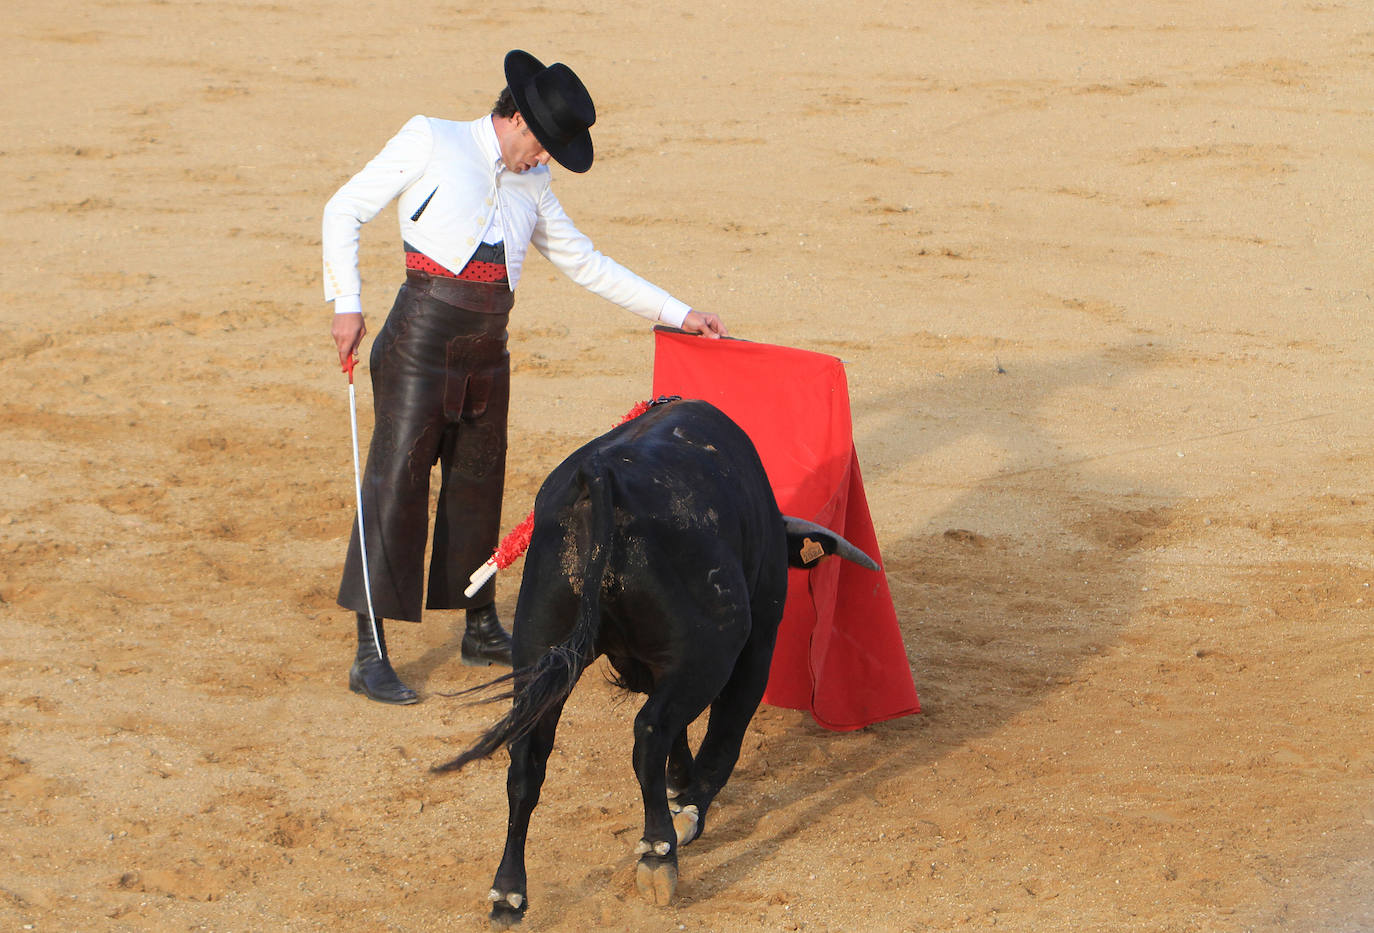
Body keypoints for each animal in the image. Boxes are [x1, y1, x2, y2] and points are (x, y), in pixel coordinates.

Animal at [434, 398, 873, 928]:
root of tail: (599, 478)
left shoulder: (649, 666)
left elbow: (675, 738)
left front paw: (677, 785)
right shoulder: (753, 646)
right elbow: (718, 739)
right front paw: (685, 809)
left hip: (540, 650)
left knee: (527, 761)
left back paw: (508, 895)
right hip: (715, 651)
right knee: (651, 733)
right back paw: (661, 850)